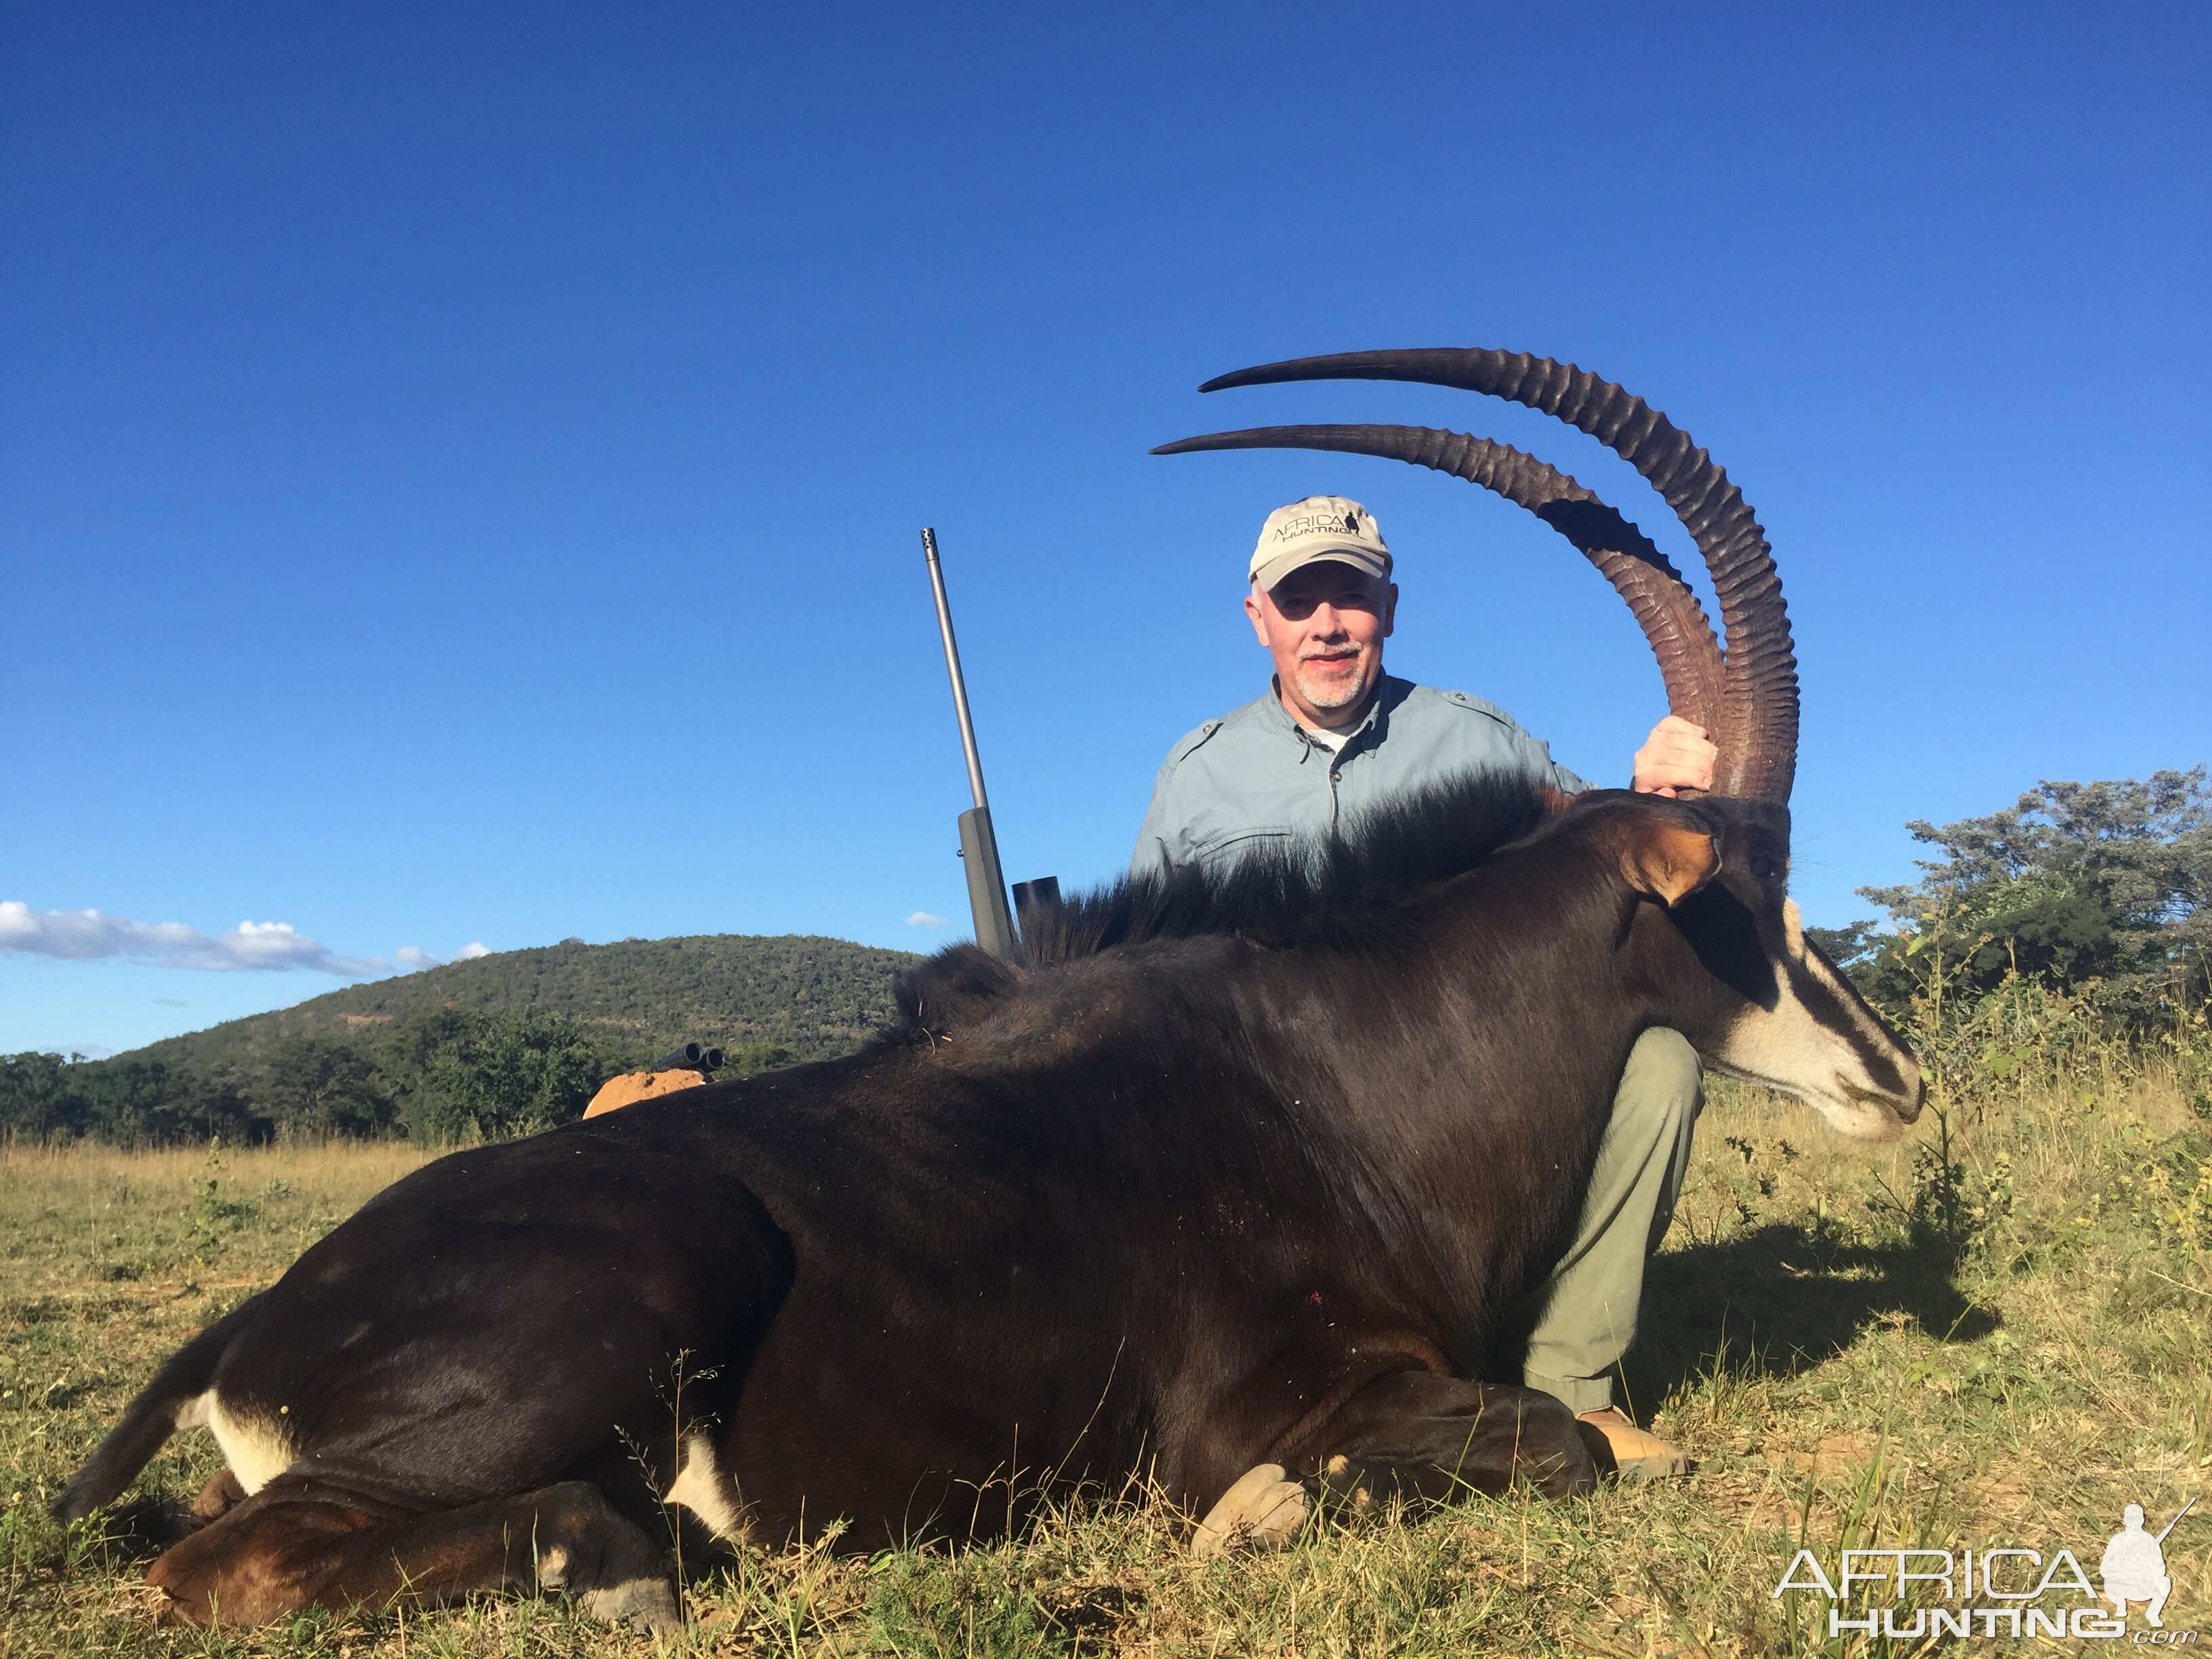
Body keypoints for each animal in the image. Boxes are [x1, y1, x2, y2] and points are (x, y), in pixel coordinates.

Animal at [52, 351, 1920, 1637]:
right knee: (226, 1567)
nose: (1899, 1082)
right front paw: (1261, 1517)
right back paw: (617, 1559)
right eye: (1737, 892)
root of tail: (249, 1322)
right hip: (637, 1293)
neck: (1343, 1072)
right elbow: (1555, 1446)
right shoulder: (1260, 1404)